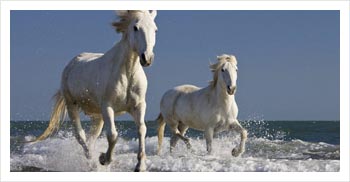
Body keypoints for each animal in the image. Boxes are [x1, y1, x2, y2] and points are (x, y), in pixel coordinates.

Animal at [31, 10, 157, 172]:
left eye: (155, 29)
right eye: (135, 27)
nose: (147, 58)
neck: (127, 73)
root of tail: (72, 62)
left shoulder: (139, 106)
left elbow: (142, 129)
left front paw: (140, 166)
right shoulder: (107, 107)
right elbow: (113, 135)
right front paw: (104, 159)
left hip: (97, 116)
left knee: (91, 138)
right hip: (72, 106)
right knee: (81, 136)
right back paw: (92, 161)